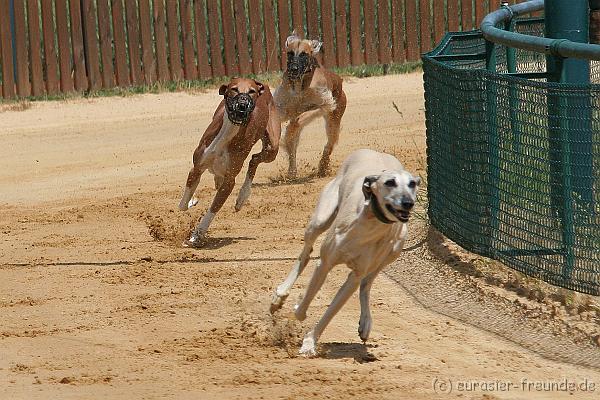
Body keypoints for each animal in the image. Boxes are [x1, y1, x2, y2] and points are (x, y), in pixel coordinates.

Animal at [178, 77, 282, 247]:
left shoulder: (229, 181)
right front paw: (192, 201)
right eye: (234, 89)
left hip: (272, 147)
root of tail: (263, 84)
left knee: (254, 160)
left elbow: (213, 209)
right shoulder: (197, 168)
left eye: (251, 91)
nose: (242, 105)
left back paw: (242, 198)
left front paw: (197, 235)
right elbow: (182, 205)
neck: (229, 131)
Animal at [270, 149, 420, 356]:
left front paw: (309, 343)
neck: (367, 226)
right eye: (390, 182)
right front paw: (298, 308)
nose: (408, 202)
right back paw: (280, 295)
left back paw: (365, 323)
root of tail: (372, 151)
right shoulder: (324, 264)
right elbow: (302, 309)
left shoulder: (354, 277)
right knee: (306, 253)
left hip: (396, 247)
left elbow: (331, 311)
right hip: (319, 220)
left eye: (412, 183)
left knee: (367, 284)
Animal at [274, 32, 346, 179]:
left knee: (329, 144)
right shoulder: (284, 107)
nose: (293, 69)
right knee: (293, 144)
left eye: (304, 54)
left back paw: (322, 167)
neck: (300, 84)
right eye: (290, 53)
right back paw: (292, 171)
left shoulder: (325, 103)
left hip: (334, 119)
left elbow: (299, 119)